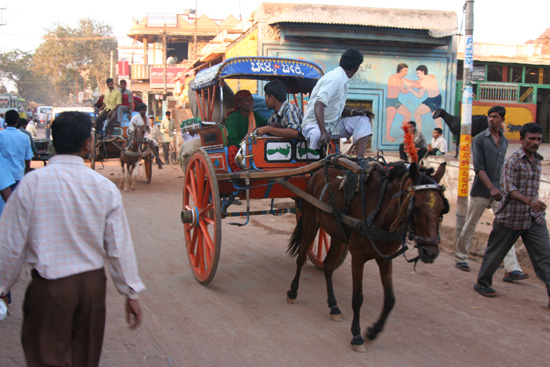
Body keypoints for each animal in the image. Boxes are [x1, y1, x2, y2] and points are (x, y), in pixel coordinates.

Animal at [286, 160, 450, 352]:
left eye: (442, 209)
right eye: (415, 206)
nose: (430, 252)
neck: (379, 211)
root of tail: (316, 173)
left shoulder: (385, 259)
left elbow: (390, 299)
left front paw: (373, 331)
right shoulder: (358, 256)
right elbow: (358, 298)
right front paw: (357, 336)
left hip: (337, 234)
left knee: (328, 265)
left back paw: (333, 306)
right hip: (311, 221)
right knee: (301, 257)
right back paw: (293, 292)